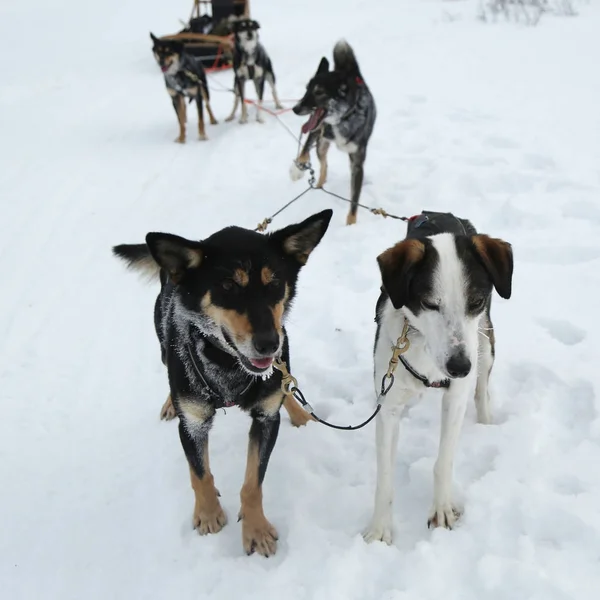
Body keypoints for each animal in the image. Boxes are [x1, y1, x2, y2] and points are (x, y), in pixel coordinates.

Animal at [290, 39, 376, 227]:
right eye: (307, 89)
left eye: (319, 92)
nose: (295, 108)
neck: (343, 119)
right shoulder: (317, 130)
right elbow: (304, 151)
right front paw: (297, 169)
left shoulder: (357, 163)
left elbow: (354, 201)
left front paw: (351, 225)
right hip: (321, 143)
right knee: (323, 164)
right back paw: (318, 183)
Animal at [364, 211, 512, 544]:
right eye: (430, 304)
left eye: (475, 301)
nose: (459, 367)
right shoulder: (389, 405)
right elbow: (384, 475)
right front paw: (379, 529)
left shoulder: (456, 395)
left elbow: (443, 461)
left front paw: (442, 509)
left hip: (485, 343)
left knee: (481, 389)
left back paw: (486, 422)